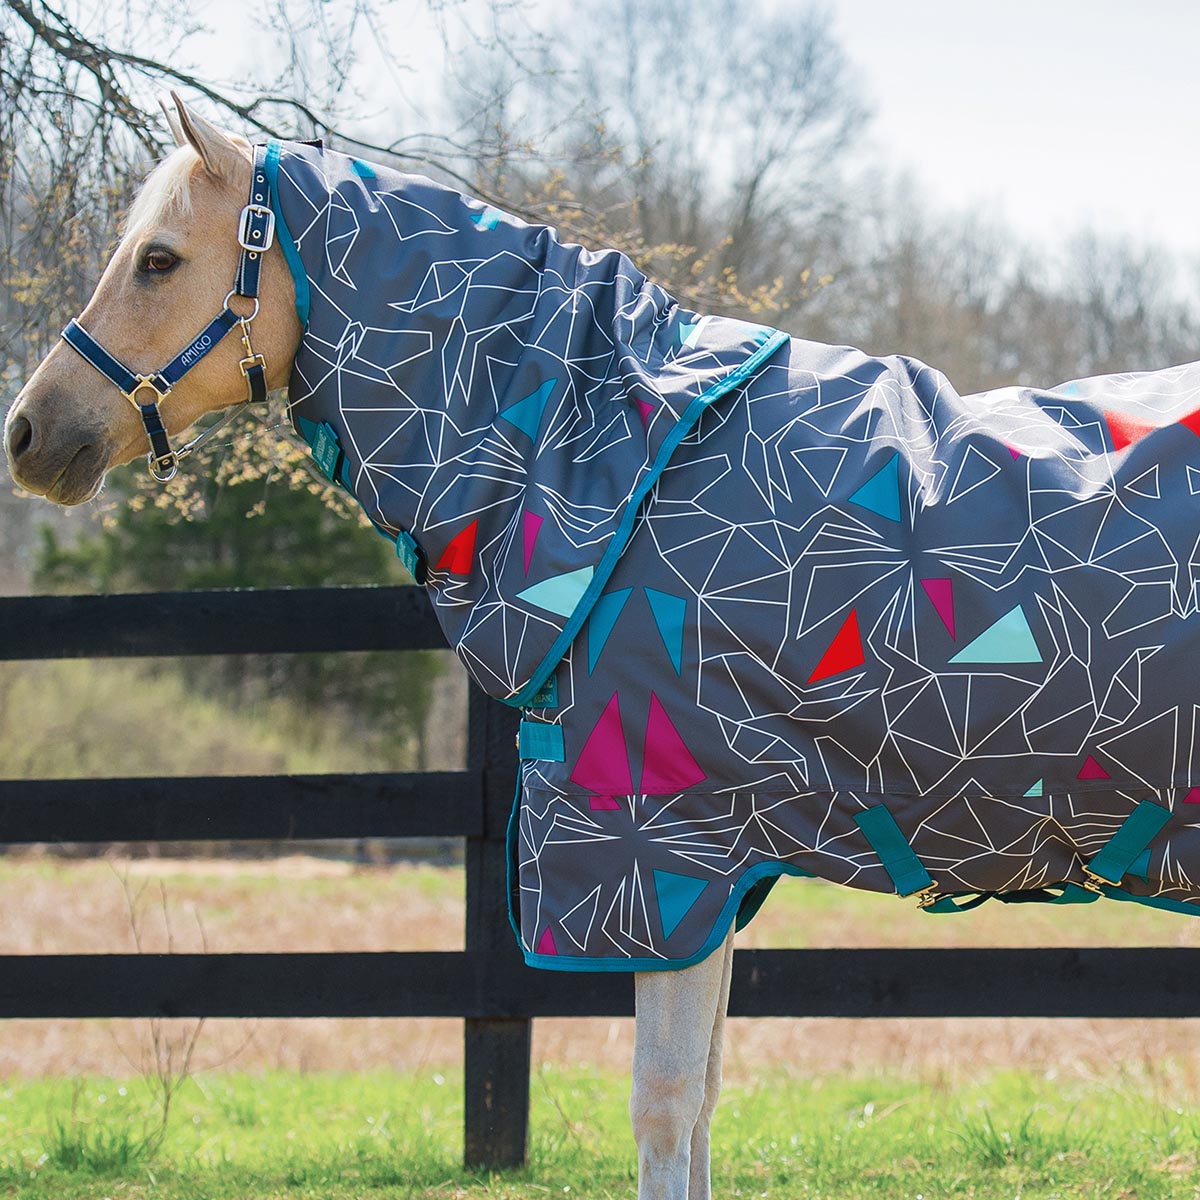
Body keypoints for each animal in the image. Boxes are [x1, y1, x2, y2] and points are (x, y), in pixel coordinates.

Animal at [10, 94, 1200, 1200]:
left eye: (160, 259)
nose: (29, 432)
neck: (614, 467)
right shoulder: (713, 877)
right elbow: (705, 1099)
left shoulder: (663, 856)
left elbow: (664, 1107)